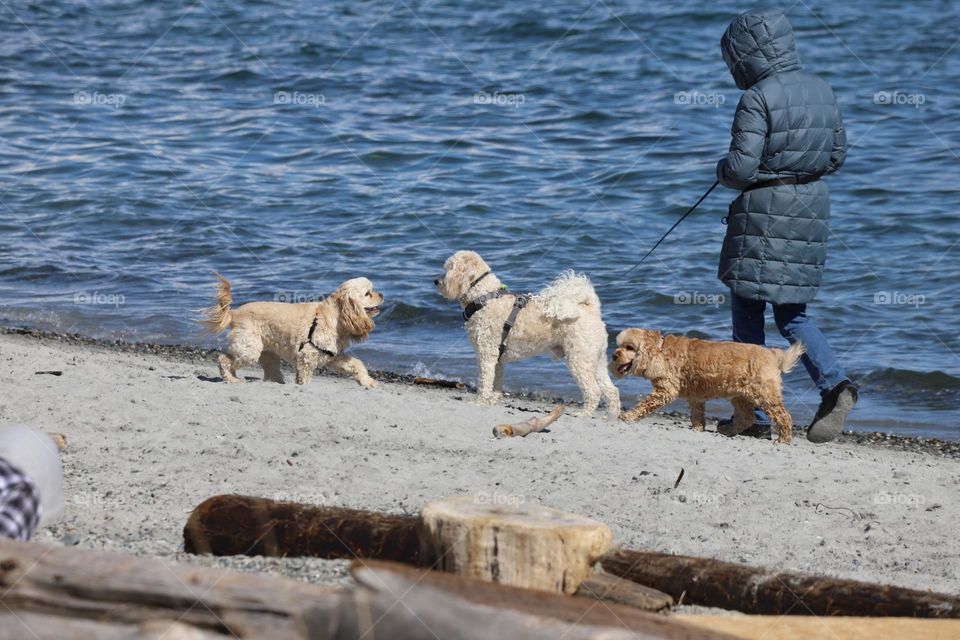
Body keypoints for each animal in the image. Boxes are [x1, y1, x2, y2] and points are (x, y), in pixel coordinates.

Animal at [436, 250, 620, 416]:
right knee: (611, 390)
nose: (436, 281)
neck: (483, 297)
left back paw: (583, 413)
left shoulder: (486, 353)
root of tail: (590, 309)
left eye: (449, 268)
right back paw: (611, 415)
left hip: (579, 359)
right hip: (596, 360)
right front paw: (492, 400)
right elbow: (496, 381)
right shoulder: (497, 358)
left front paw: (480, 401)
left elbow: (484, 380)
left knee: (594, 391)